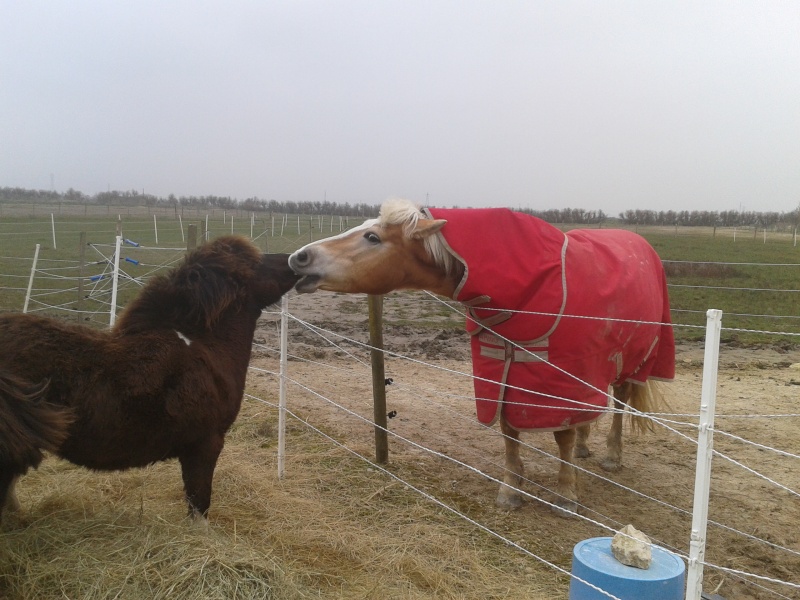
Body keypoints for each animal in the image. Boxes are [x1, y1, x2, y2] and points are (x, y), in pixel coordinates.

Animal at [290, 199, 676, 512]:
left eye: (372, 237)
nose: (299, 256)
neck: (525, 289)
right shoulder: (500, 372)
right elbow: (509, 430)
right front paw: (511, 491)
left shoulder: (560, 380)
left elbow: (561, 436)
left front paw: (566, 495)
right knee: (589, 413)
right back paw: (585, 447)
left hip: (632, 362)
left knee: (619, 405)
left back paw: (612, 456)